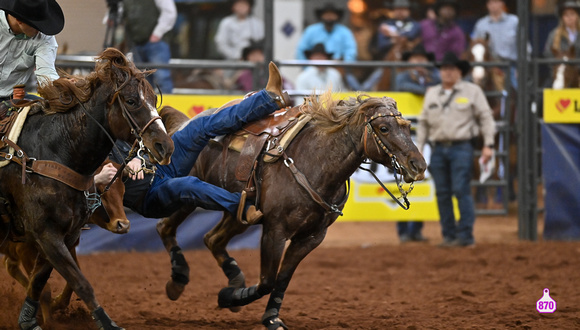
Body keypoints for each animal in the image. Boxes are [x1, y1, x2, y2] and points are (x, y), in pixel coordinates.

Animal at [0, 47, 172, 330]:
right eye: (131, 101)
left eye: (152, 100)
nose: (165, 147)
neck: (54, 152)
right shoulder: (44, 234)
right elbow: (80, 283)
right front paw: (107, 323)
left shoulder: (64, 235)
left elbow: (40, 281)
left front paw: (28, 320)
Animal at [156, 92, 428, 330]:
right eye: (384, 128)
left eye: (407, 127)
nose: (418, 165)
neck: (315, 163)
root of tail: (184, 124)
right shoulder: (275, 232)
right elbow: (267, 281)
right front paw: (229, 297)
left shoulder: (311, 237)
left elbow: (283, 279)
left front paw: (269, 317)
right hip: (186, 195)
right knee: (165, 227)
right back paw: (178, 281)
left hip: (239, 214)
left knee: (212, 239)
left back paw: (233, 280)